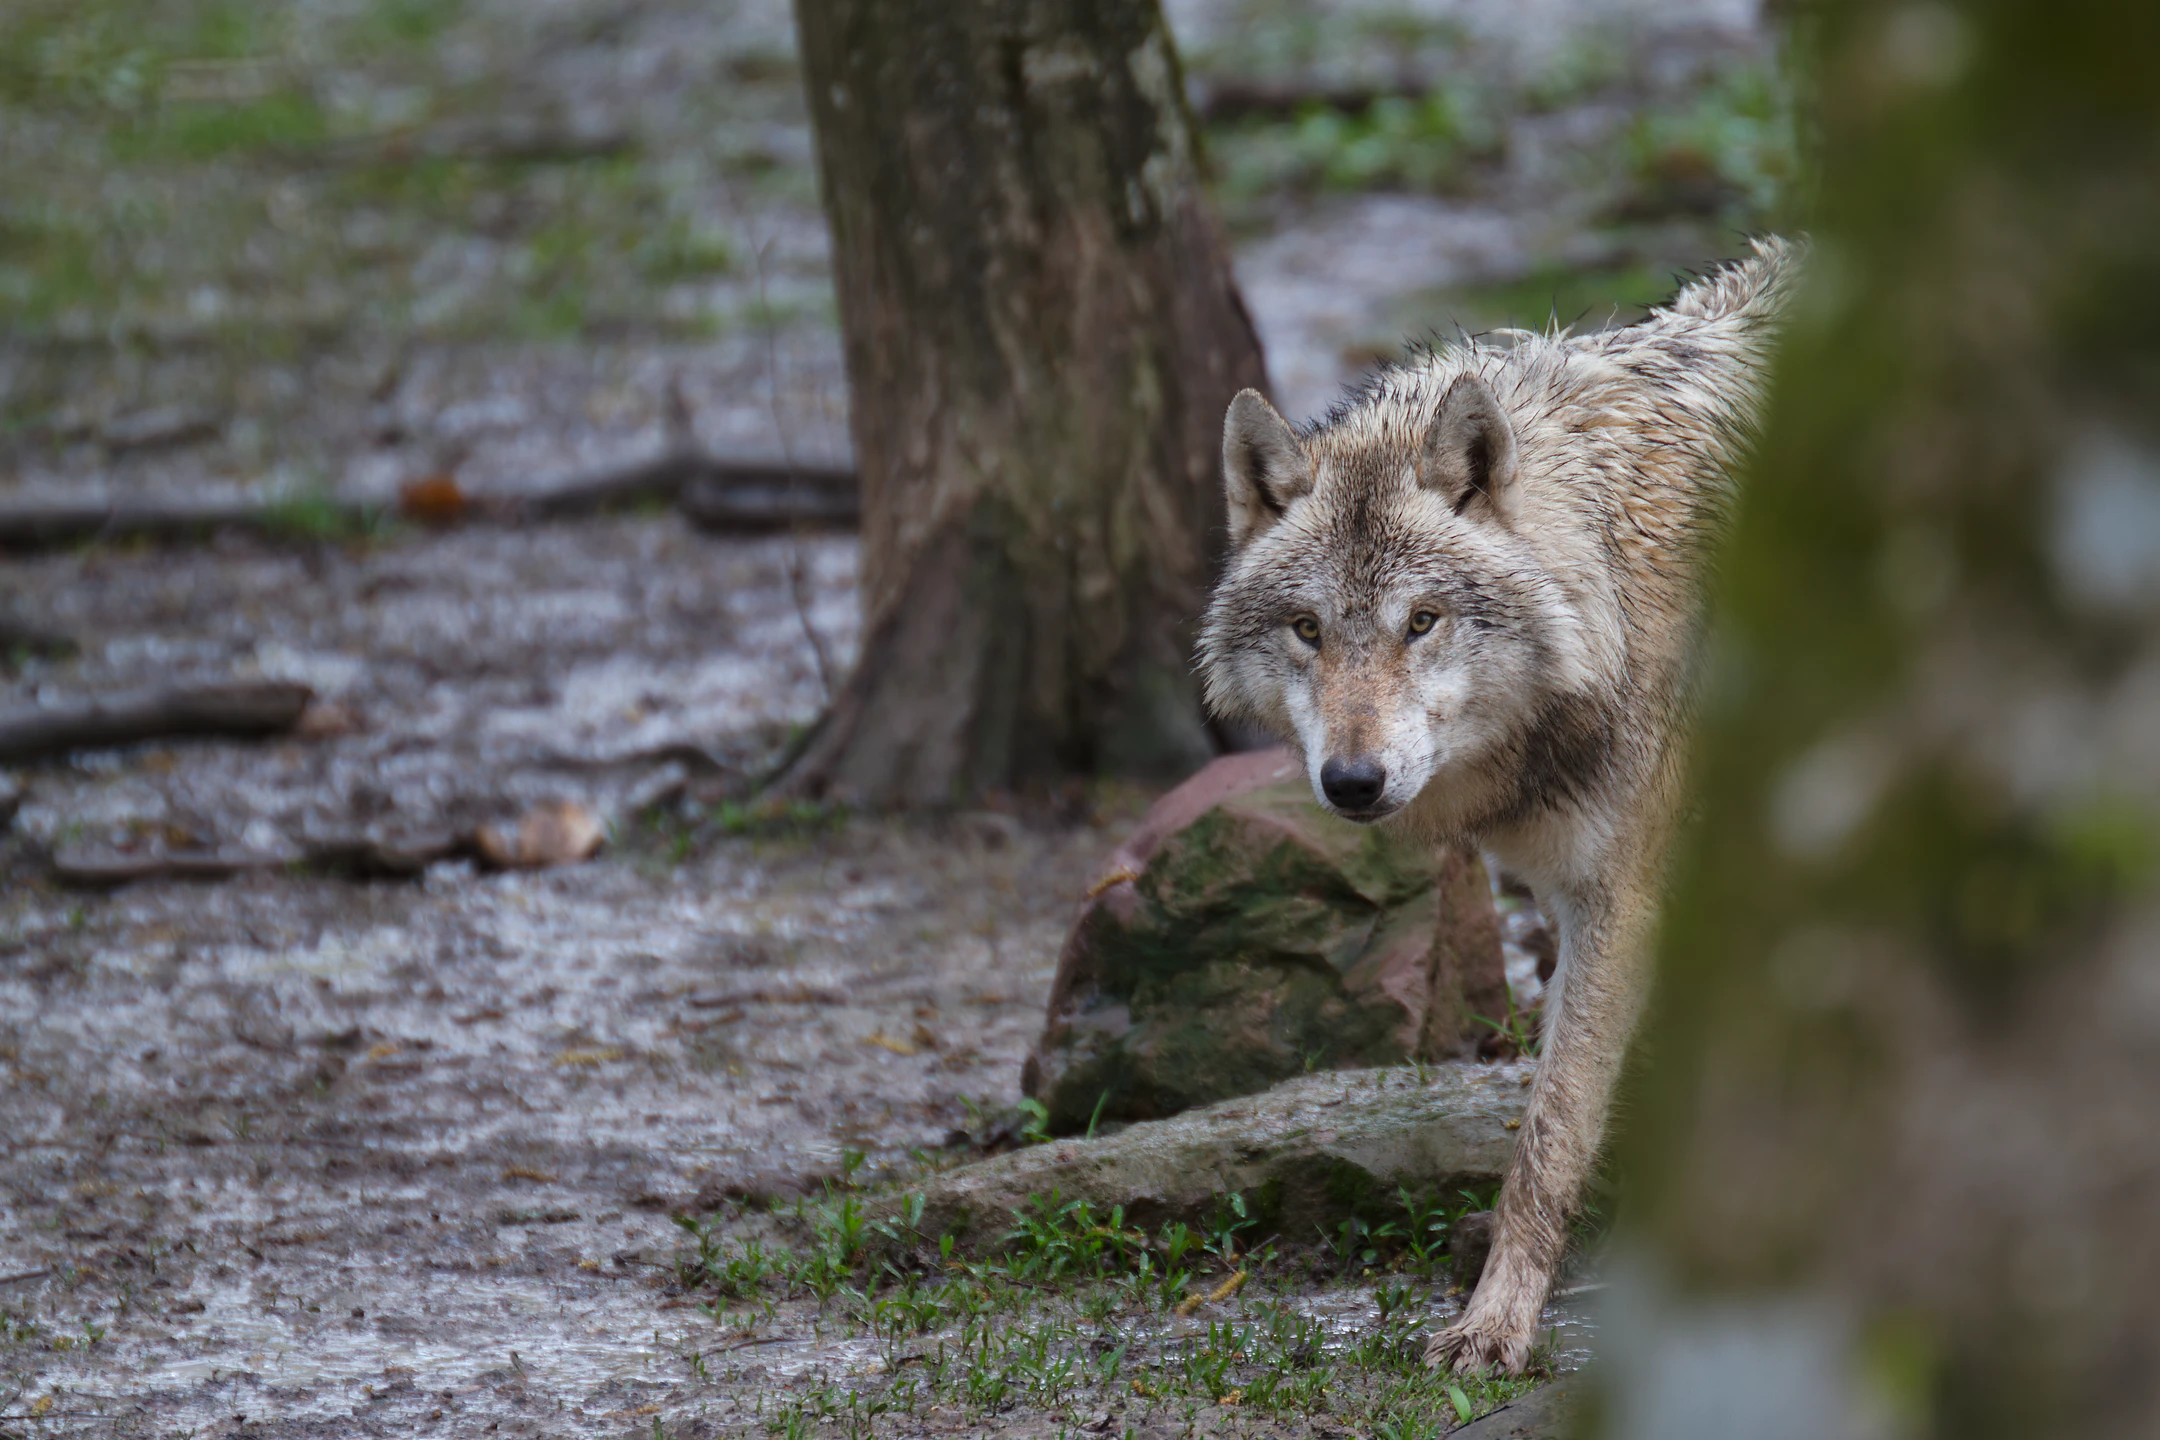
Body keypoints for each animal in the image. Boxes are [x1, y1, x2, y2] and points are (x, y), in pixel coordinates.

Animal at [1198, 238, 1800, 1373]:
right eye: (1308, 629)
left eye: (1421, 622)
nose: (1352, 782)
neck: (1614, 584)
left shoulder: (1624, 896)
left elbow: (1551, 1134)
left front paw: (1497, 1323)